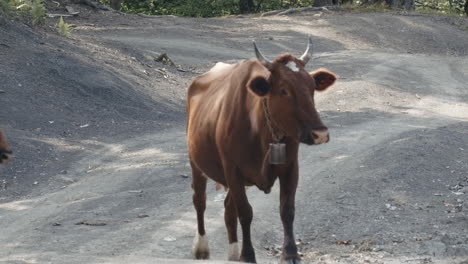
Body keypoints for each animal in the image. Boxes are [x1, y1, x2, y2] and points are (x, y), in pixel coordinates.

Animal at [186, 38, 336, 262]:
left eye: (312, 87)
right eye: (284, 90)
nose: (320, 133)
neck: (262, 130)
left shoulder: (290, 166)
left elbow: (287, 210)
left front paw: (290, 253)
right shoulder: (233, 169)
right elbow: (245, 213)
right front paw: (248, 255)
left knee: (228, 209)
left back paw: (233, 253)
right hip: (196, 162)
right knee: (200, 200)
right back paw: (201, 248)